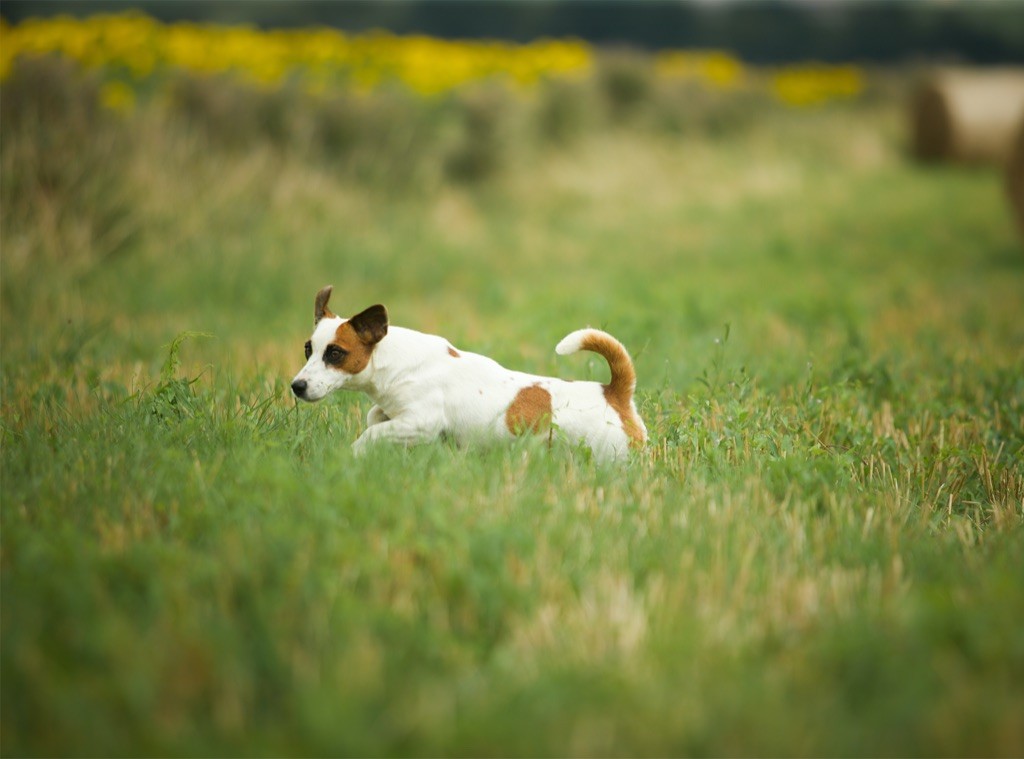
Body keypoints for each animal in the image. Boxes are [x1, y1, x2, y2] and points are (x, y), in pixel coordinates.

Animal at [292, 284, 643, 458]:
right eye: (309, 349)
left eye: (335, 353)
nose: (297, 386)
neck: (396, 362)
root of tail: (614, 393)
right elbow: (375, 417)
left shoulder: (421, 423)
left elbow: (371, 434)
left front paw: (353, 454)